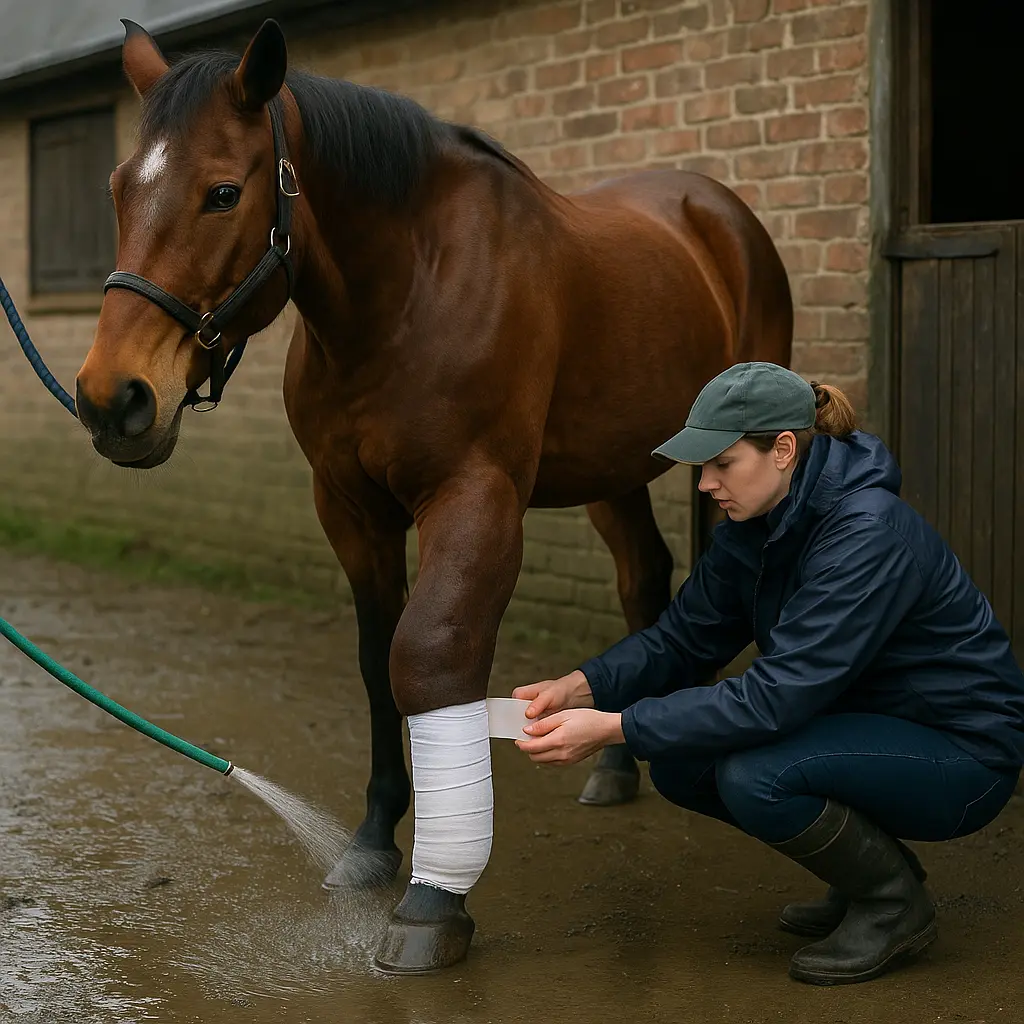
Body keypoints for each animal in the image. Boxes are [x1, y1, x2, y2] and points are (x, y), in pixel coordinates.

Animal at [74, 18, 793, 973]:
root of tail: (717, 212)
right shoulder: (350, 509)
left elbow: (431, 655)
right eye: (119, 189)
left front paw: (434, 898)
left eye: (222, 192)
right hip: (613, 466)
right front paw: (373, 841)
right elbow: (377, 661)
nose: (112, 399)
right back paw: (614, 767)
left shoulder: (474, 496)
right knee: (644, 575)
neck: (408, 291)